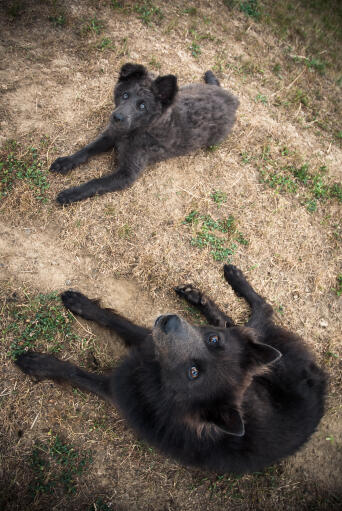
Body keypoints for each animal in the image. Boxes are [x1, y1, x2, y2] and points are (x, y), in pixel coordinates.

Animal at [15, 268, 326, 476]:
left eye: (193, 373)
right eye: (213, 340)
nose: (170, 322)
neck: (158, 379)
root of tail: (322, 384)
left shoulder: (117, 388)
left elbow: (73, 372)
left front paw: (38, 363)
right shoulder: (147, 340)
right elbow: (113, 319)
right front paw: (81, 304)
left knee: (265, 308)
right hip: (257, 348)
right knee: (247, 315)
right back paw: (206, 292)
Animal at [50, 65, 238, 205]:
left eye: (142, 106)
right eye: (125, 95)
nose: (117, 118)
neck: (134, 131)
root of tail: (232, 99)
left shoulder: (127, 174)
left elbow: (96, 183)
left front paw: (71, 193)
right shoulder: (110, 135)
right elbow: (87, 149)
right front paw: (65, 162)